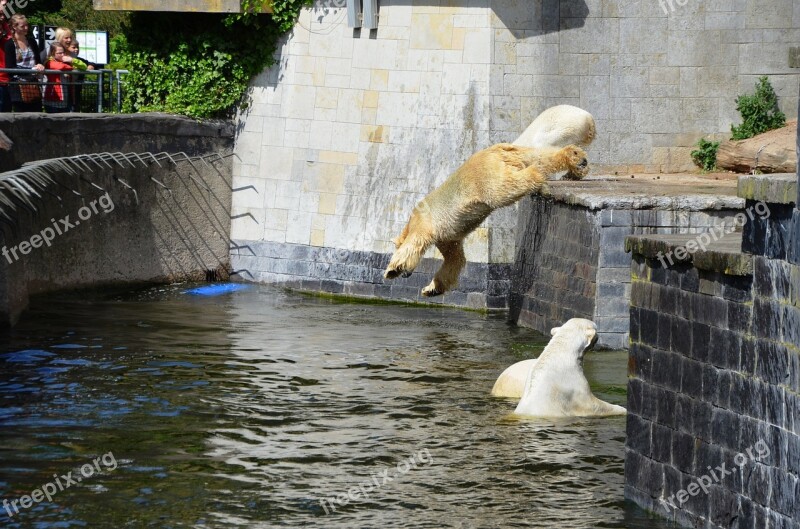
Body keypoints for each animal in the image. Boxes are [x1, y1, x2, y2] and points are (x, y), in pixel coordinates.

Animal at [382, 143, 588, 296]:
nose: (406, 275)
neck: (410, 222)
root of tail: (496, 149)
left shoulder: (424, 224)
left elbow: (414, 243)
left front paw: (392, 270)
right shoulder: (448, 238)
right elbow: (455, 260)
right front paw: (431, 289)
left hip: (485, 177)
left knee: (506, 186)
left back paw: (538, 174)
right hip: (515, 157)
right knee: (539, 156)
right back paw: (576, 157)